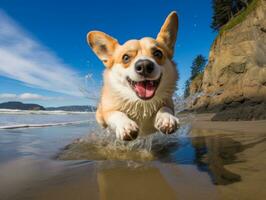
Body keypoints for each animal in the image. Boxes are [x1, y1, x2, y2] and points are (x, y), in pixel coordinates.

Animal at [86, 11, 180, 141]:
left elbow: (165, 108)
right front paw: (126, 125)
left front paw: (167, 118)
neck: (141, 103)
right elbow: (117, 113)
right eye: (126, 57)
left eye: (158, 53)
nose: (144, 65)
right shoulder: (108, 111)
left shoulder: (168, 104)